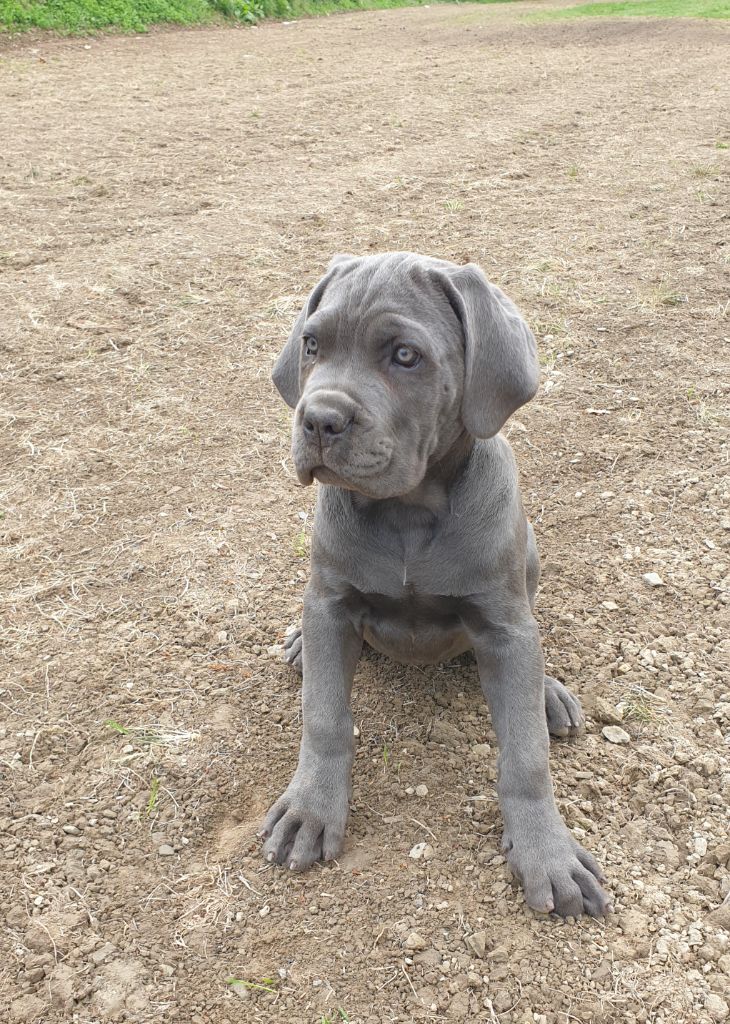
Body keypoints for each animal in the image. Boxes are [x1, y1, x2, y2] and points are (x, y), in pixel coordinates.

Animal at [260, 252, 611, 918]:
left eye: (405, 355)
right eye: (312, 344)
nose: (317, 419)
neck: (408, 512)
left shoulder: (503, 625)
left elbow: (526, 756)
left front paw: (547, 854)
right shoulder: (330, 604)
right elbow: (323, 716)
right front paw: (310, 809)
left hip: (528, 559)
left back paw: (548, 692)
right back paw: (296, 647)